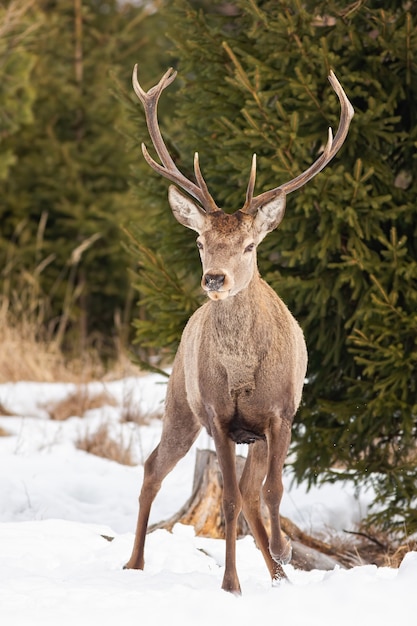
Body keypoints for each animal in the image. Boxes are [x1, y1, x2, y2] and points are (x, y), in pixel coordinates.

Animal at [125, 64, 352, 596]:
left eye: (250, 245)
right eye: (200, 241)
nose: (215, 279)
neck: (244, 373)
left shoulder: (282, 414)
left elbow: (272, 492)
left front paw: (285, 554)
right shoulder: (217, 416)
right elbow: (227, 500)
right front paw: (231, 584)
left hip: (252, 433)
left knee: (253, 491)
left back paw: (278, 570)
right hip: (180, 403)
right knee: (153, 468)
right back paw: (134, 563)